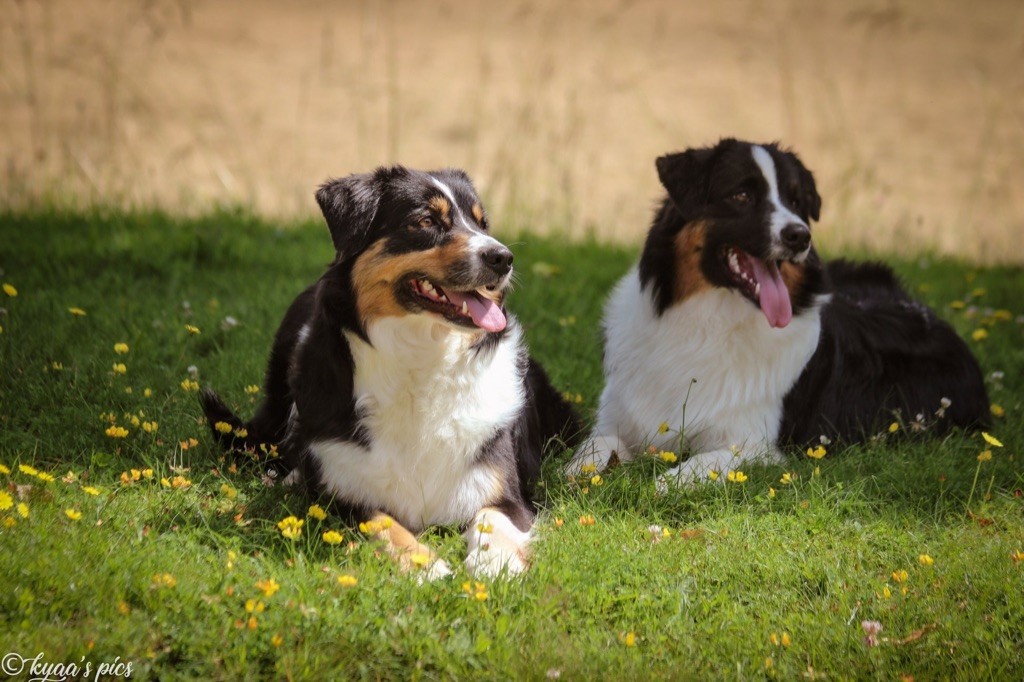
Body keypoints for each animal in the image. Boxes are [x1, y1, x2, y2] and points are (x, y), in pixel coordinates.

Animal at [202, 164, 581, 573]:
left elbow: (491, 521)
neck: (422, 360)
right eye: (426, 221)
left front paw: (494, 568)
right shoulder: (344, 491)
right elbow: (383, 522)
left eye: (483, 224)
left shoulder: (507, 491)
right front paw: (427, 567)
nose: (503, 258)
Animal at [569, 135, 991, 481]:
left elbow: (693, 468)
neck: (707, 321)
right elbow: (591, 449)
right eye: (741, 195)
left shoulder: (755, 442)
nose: (799, 236)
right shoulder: (616, 417)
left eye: (796, 201)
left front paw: (662, 483)